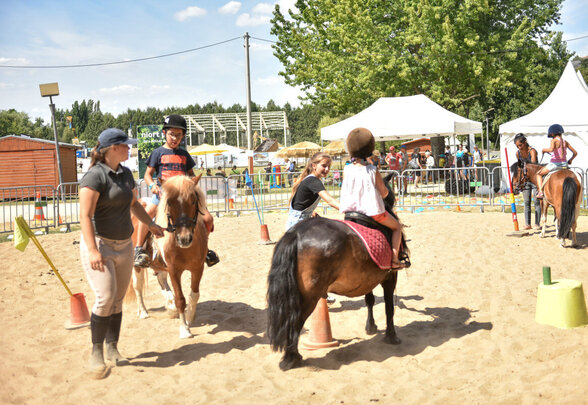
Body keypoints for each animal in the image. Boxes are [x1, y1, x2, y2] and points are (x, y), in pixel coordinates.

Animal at [131, 175, 209, 336]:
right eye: (169, 202)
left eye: (193, 200)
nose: (184, 238)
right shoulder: (174, 270)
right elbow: (180, 299)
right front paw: (184, 329)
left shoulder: (198, 268)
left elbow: (194, 295)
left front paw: (189, 317)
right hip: (136, 266)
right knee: (137, 286)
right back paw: (143, 311)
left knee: (161, 279)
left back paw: (169, 305)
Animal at [268, 174, 408, 370]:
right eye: (392, 196)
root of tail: (295, 234)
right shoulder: (390, 276)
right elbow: (389, 307)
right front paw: (391, 335)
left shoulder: (368, 275)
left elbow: (370, 300)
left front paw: (371, 327)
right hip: (309, 296)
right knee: (294, 320)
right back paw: (291, 358)